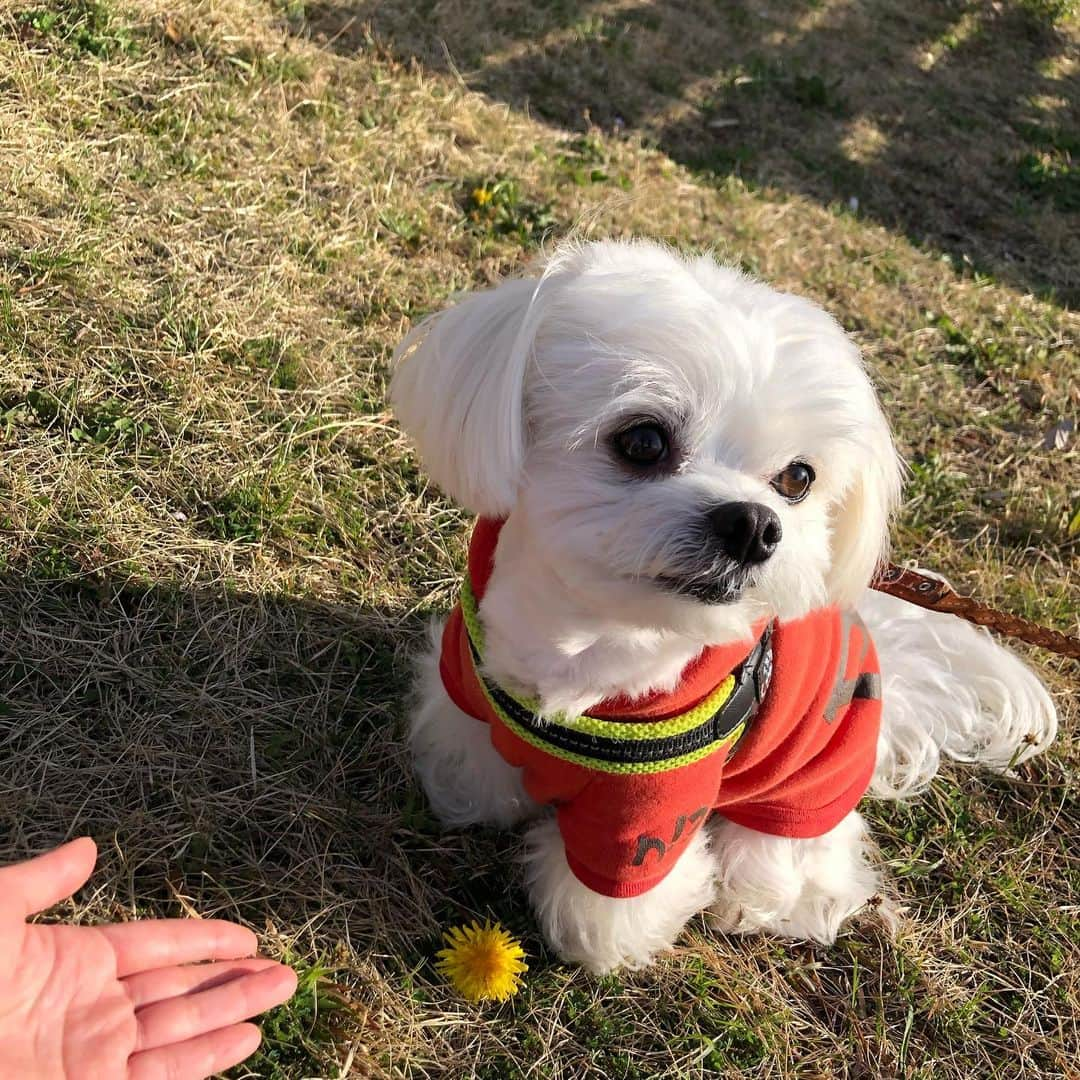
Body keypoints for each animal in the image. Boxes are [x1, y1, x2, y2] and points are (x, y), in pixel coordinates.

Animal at [388, 240, 1054, 976]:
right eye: (642, 441)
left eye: (798, 478)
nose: (755, 525)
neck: (589, 639)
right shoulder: (468, 691)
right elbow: (468, 768)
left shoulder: (654, 807)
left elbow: (607, 912)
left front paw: (612, 933)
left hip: (803, 794)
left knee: (805, 862)